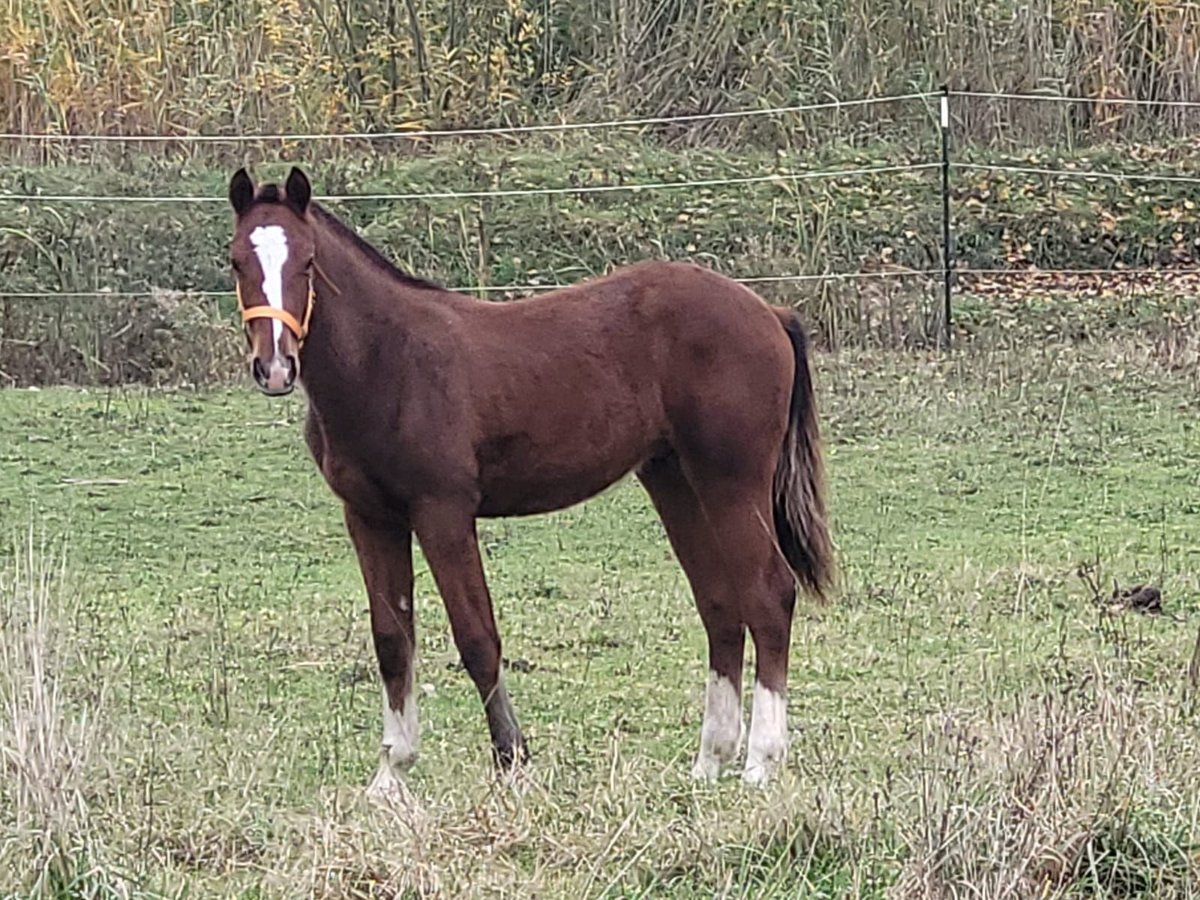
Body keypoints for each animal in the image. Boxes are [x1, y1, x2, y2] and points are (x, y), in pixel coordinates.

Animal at [225, 165, 835, 801]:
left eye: (307, 262)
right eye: (237, 260)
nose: (275, 367)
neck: (388, 360)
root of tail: (769, 311)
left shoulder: (442, 511)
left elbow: (476, 636)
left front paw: (512, 760)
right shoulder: (370, 516)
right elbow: (392, 639)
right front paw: (391, 774)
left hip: (733, 479)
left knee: (769, 594)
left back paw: (761, 762)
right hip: (675, 480)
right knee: (719, 603)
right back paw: (709, 760)